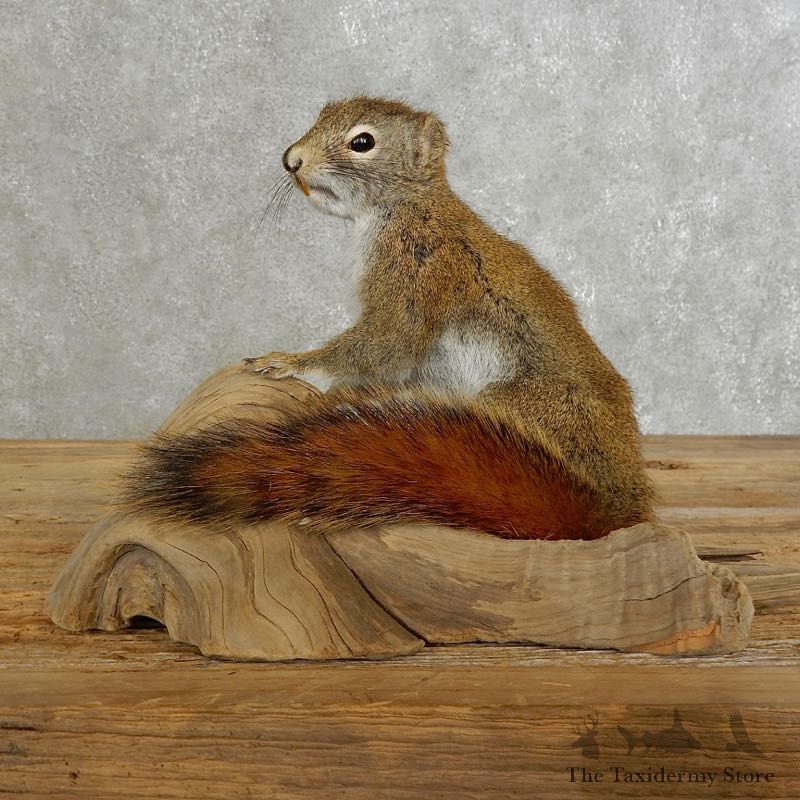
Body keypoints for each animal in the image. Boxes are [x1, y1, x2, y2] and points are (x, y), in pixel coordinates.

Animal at [126, 96, 655, 540]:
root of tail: (612, 507)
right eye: (319, 115)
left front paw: (292, 362)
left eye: (363, 142)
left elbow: (384, 342)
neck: (407, 207)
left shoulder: (415, 272)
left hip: (527, 403)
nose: (291, 160)